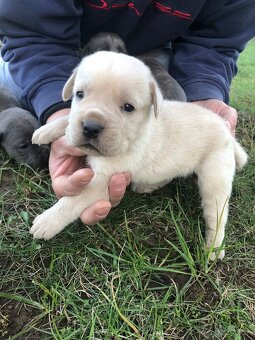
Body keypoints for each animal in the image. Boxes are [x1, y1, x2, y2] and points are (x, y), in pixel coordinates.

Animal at [29, 51, 247, 260]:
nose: (90, 127)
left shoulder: (101, 182)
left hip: (214, 178)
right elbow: (68, 118)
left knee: (217, 215)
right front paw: (45, 130)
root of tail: (225, 129)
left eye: (128, 107)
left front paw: (47, 221)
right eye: (79, 94)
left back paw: (214, 247)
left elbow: (72, 201)